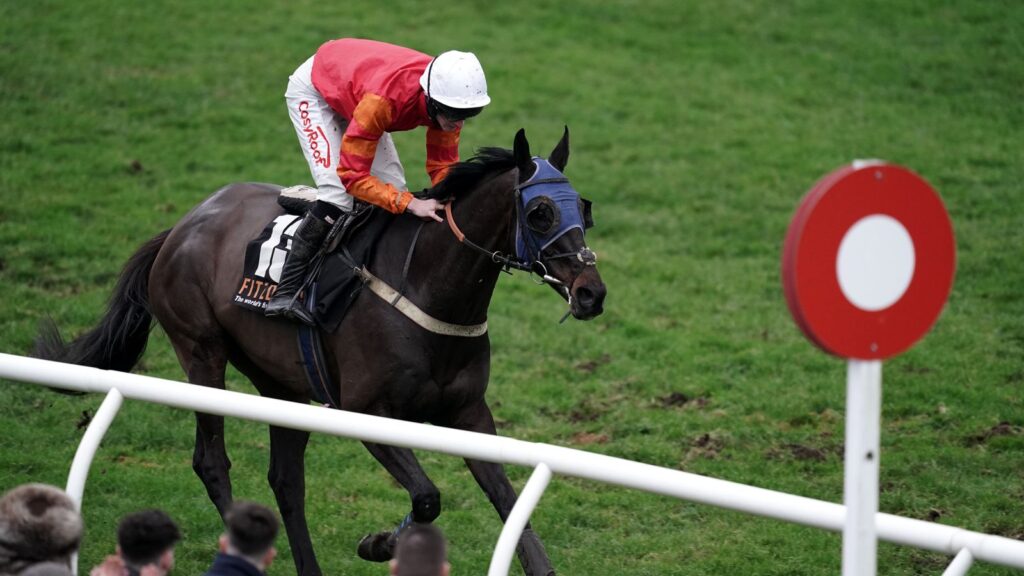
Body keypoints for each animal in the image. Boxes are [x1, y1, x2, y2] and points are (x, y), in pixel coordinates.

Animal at [36, 127, 602, 569]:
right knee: (211, 462)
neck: (426, 286)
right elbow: (427, 497)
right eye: (540, 212)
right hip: (201, 351)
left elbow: (509, 502)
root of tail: (181, 226)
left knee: (287, 481)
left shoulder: (470, 414)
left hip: (281, 384)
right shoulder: (367, 411)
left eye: (585, 208)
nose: (591, 293)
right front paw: (378, 543)